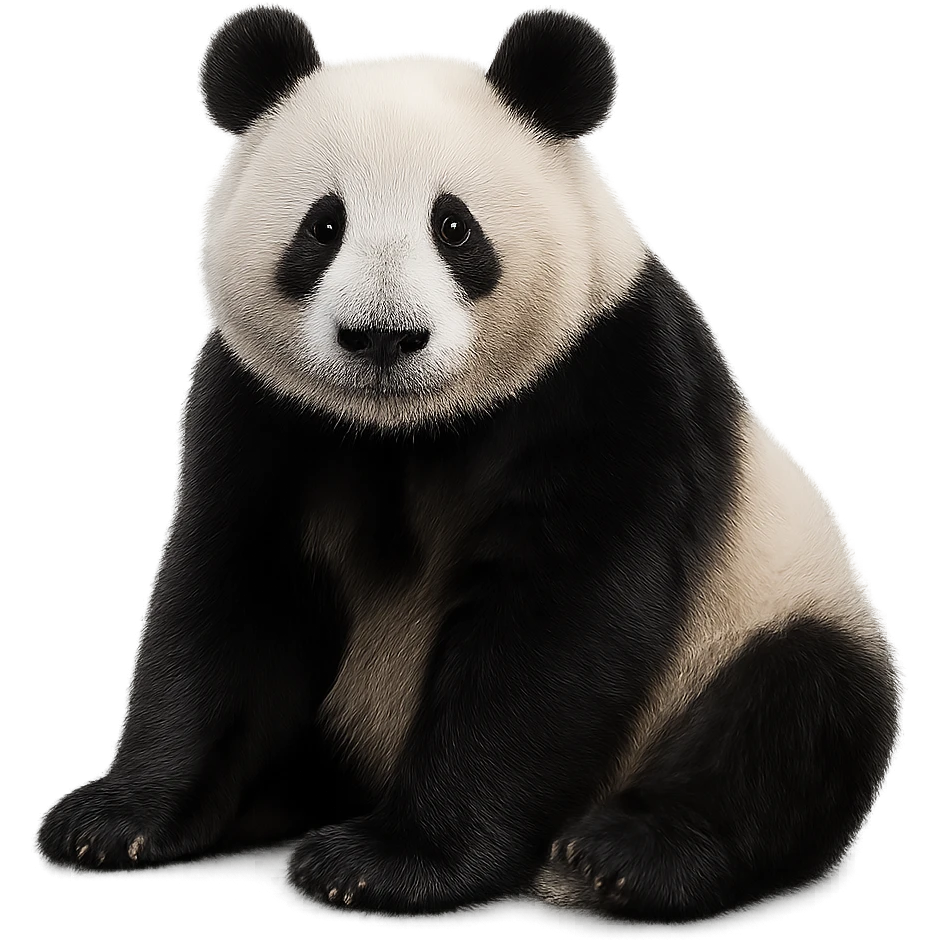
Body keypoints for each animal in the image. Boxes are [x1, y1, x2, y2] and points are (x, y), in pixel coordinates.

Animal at [39, 6, 899, 925]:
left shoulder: (614, 380)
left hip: (766, 609)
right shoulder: (266, 408)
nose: (382, 338)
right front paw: (117, 819)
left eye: (453, 227)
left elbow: (554, 626)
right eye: (324, 225)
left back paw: (624, 857)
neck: (406, 427)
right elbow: (235, 592)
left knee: (793, 710)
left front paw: (390, 863)